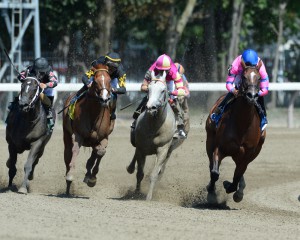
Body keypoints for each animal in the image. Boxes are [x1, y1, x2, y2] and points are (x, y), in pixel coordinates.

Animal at [62, 62, 113, 194]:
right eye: (95, 81)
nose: (104, 99)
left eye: (110, 80)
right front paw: (70, 175)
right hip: (66, 133)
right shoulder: (78, 135)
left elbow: (100, 152)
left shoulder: (103, 137)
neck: (93, 115)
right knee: (67, 154)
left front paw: (92, 178)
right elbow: (75, 151)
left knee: (96, 152)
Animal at [126, 71, 186, 201]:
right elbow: (140, 173)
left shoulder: (163, 149)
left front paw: (148, 197)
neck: (154, 127)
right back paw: (130, 168)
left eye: (163, 90)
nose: (150, 107)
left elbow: (154, 174)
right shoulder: (141, 149)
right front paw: (136, 193)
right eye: (148, 89)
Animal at [205, 60, 266, 202]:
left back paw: (239, 189)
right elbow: (215, 173)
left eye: (259, 78)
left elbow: (238, 174)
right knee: (211, 165)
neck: (242, 124)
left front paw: (233, 189)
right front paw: (211, 191)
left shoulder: (247, 154)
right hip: (210, 140)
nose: (252, 96)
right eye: (244, 77)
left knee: (240, 170)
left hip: (252, 152)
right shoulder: (220, 147)